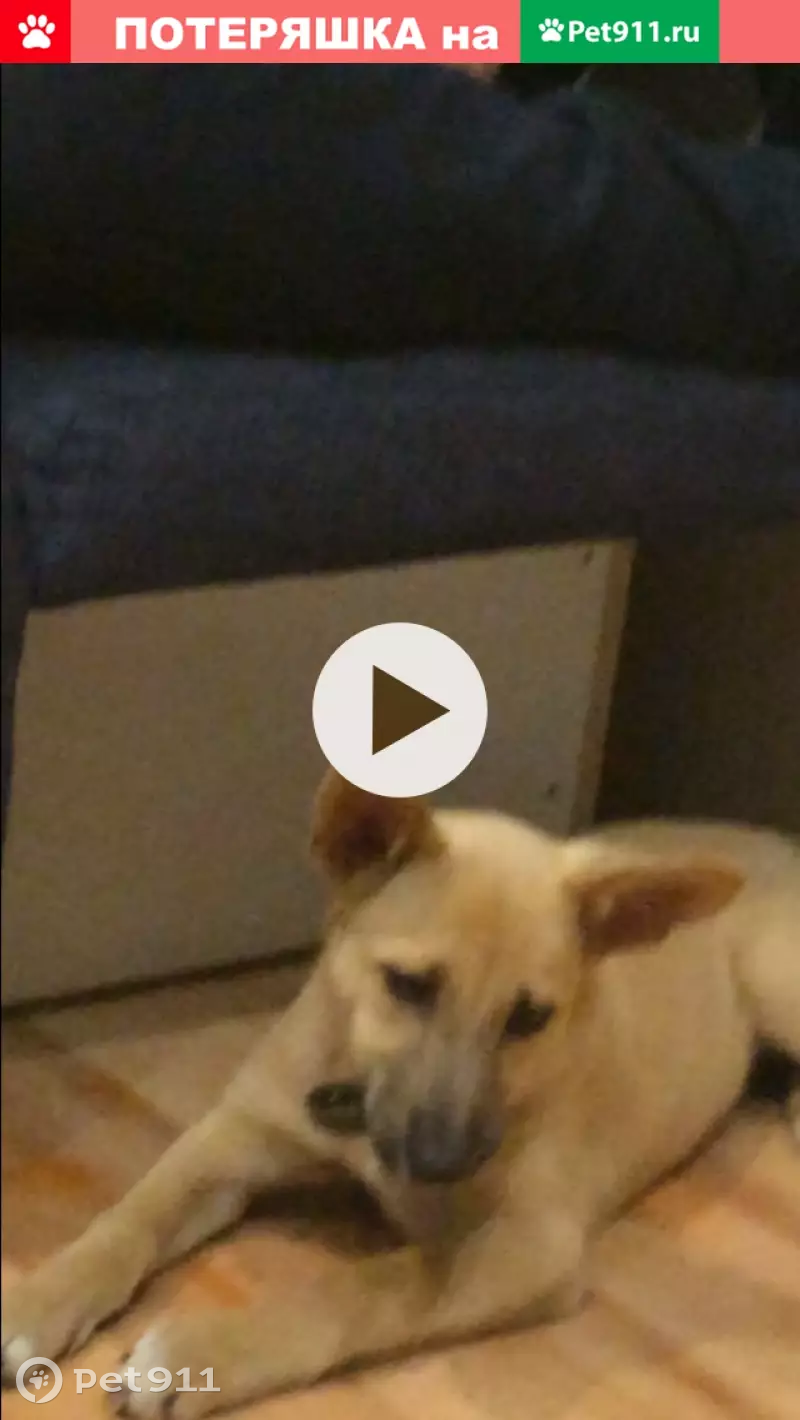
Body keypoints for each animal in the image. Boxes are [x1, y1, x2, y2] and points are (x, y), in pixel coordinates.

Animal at [3, 769, 799, 1416]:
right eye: (408, 984)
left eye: (529, 1018)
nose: (442, 1163)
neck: (356, 1098)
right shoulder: (234, 1134)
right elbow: (130, 1215)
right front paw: (37, 1297)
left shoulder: (529, 1244)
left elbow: (363, 1285)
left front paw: (199, 1352)